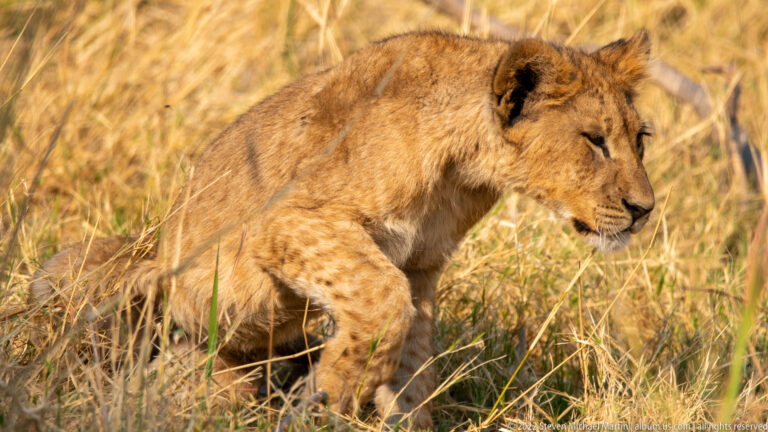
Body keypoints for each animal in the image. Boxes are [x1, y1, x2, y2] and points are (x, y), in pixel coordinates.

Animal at [31, 30, 654, 430]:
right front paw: (323, 401)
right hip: (106, 280)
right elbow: (383, 306)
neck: (462, 169)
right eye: (595, 141)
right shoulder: (287, 221)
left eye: (639, 139)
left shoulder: (421, 263)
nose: (644, 209)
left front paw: (403, 418)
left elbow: (412, 355)